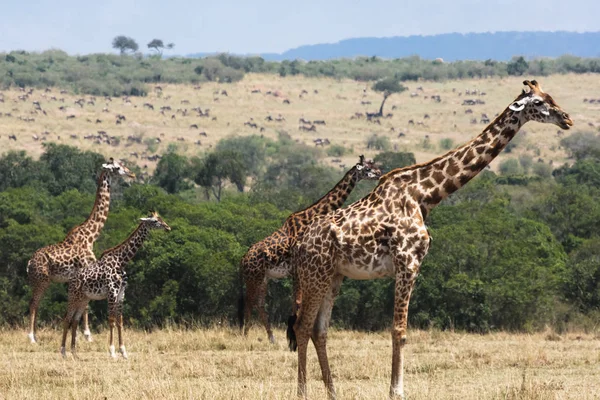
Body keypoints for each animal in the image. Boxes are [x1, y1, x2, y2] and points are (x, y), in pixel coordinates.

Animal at [27, 159, 135, 344]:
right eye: (117, 168)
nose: (132, 174)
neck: (91, 236)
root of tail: (29, 263)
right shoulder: (85, 270)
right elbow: (85, 306)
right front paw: (87, 334)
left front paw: (80, 333)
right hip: (42, 280)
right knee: (34, 303)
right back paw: (31, 337)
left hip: (39, 281)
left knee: (35, 303)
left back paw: (36, 336)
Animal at [61, 211, 171, 358]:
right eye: (154, 221)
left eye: (160, 218)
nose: (168, 228)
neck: (121, 261)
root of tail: (71, 280)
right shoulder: (112, 292)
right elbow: (112, 320)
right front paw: (112, 351)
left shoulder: (121, 294)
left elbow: (120, 321)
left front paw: (123, 351)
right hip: (73, 296)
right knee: (67, 319)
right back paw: (63, 352)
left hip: (84, 299)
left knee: (74, 321)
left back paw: (74, 353)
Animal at [238, 155, 382, 342]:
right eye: (367, 168)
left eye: (373, 165)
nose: (380, 173)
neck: (310, 216)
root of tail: (243, 260)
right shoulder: (297, 268)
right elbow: (298, 302)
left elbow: (297, 302)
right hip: (253, 277)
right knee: (249, 302)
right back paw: (245, 335)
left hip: (263, 278)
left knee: (260, 303)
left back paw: (271, 338)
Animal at [290, 79, 572, 398]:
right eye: (538, 103)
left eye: (550, 96)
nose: (566, 119)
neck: (425, 195)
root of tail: (298, 244)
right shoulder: (407, 261)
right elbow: (399, 330)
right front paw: (396, 391)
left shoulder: (407, 265)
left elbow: (398, 330)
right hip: (316, 275)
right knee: (302, 326)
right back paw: (302, 391)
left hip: (333, 276)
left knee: (319, 330)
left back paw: (333, 391)